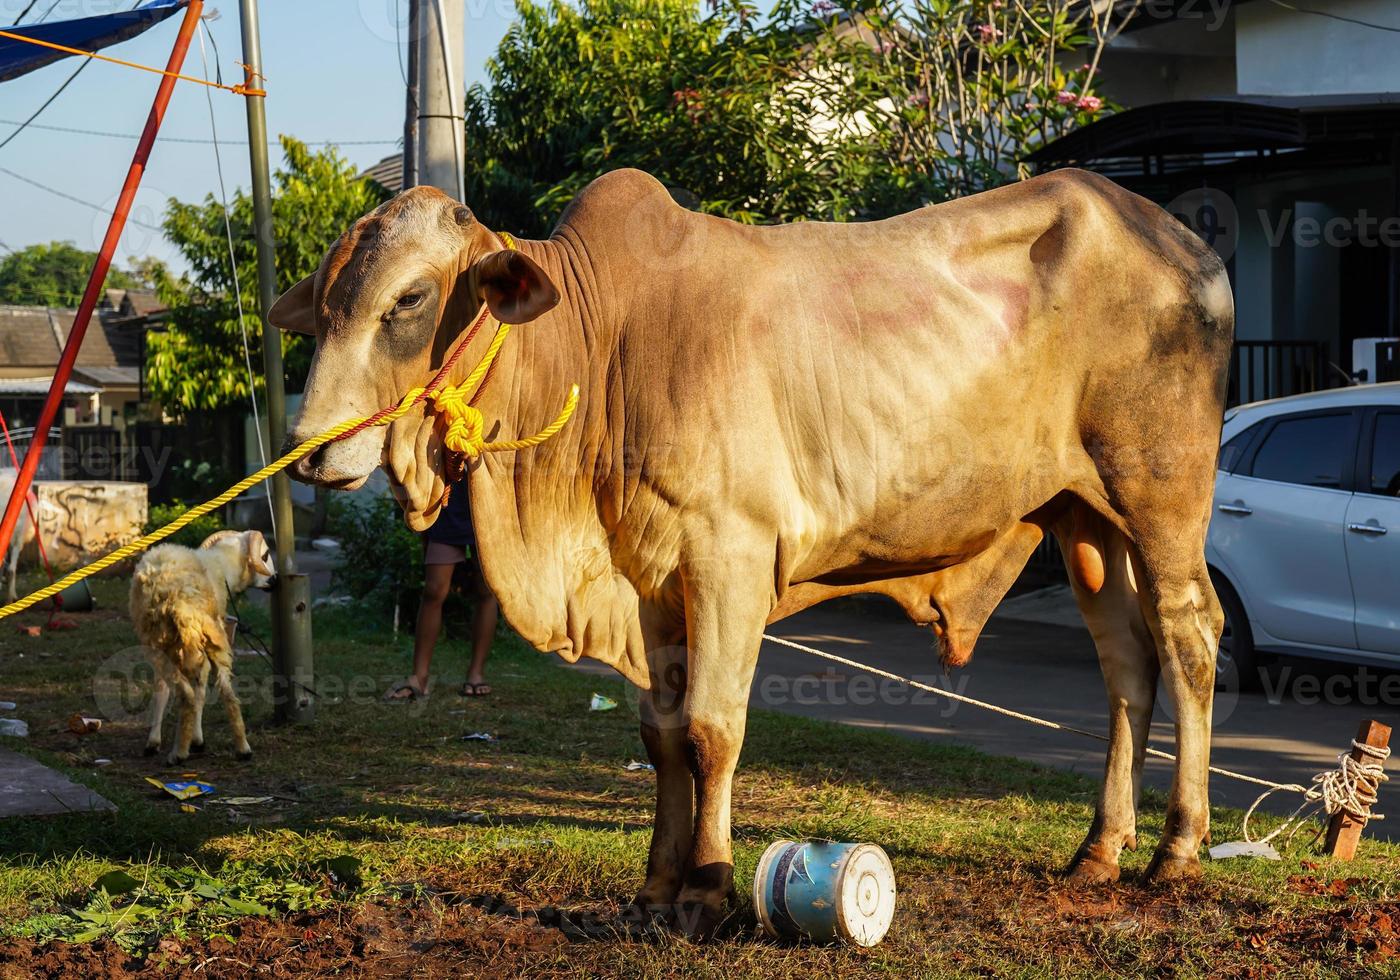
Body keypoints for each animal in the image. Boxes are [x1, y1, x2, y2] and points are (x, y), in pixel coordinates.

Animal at [273, 166, 1237, 935]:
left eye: (407, 300)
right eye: (322, 306)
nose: (312, 449)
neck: (603, 341)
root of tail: (1183, 241)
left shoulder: (727, 559)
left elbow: (710, 730)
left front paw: (707, 888)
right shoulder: (650, 584)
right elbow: (660, 737)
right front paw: (655, 891)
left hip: (1160, 495)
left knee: (1188, 635)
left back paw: (1178, 849)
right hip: (1083, 520)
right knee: (1125, 664)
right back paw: (1100, 849)